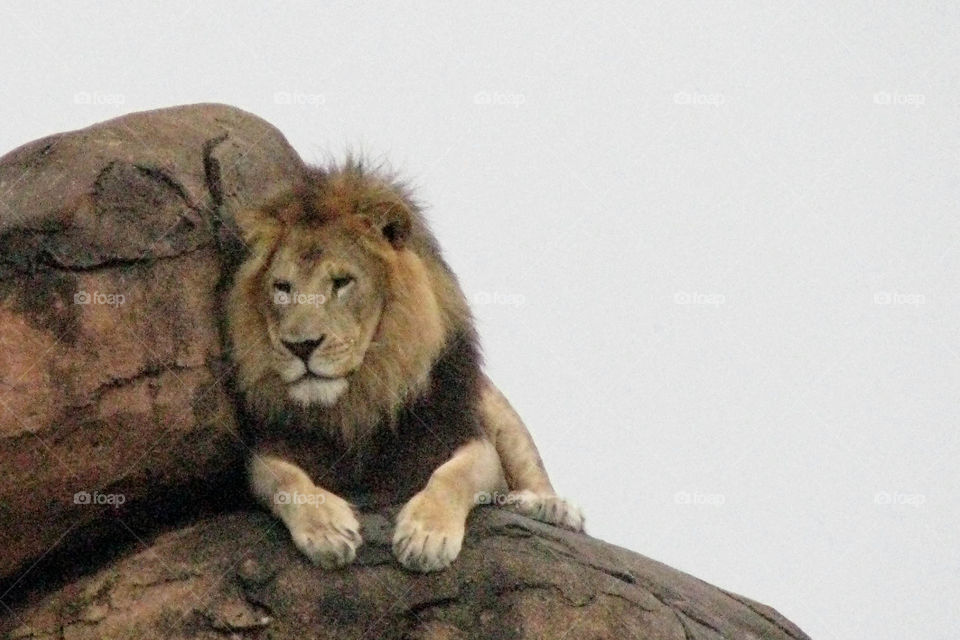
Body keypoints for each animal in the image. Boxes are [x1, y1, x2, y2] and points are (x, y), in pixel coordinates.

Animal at [227, 160, 582, 572]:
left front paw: (426, 537)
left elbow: (451, 477)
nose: (301, 346)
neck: (362, 397)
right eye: (282, 287)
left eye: (342, 282)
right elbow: (285, 481)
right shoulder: (270, 449)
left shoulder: (464, 437)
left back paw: (548, 507)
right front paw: (327, 531)